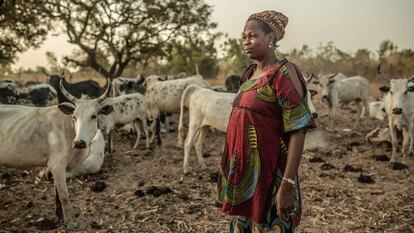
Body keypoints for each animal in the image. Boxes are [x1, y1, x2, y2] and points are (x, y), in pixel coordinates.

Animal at [0, 81, 113, 228]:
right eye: (74, 117)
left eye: (94, 116)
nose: (79, 142)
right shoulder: (57, 166)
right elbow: (64, 197)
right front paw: (70, 224)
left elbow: (57, 195)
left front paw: (59, 218)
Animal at [177, 84, 316, 174]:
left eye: (310, 96)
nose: (314, 114)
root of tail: (199, 89)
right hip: (194, 122)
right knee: (188, 143)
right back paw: (186, 169)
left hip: (204, 126)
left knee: (198, 143)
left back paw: (203, 165)